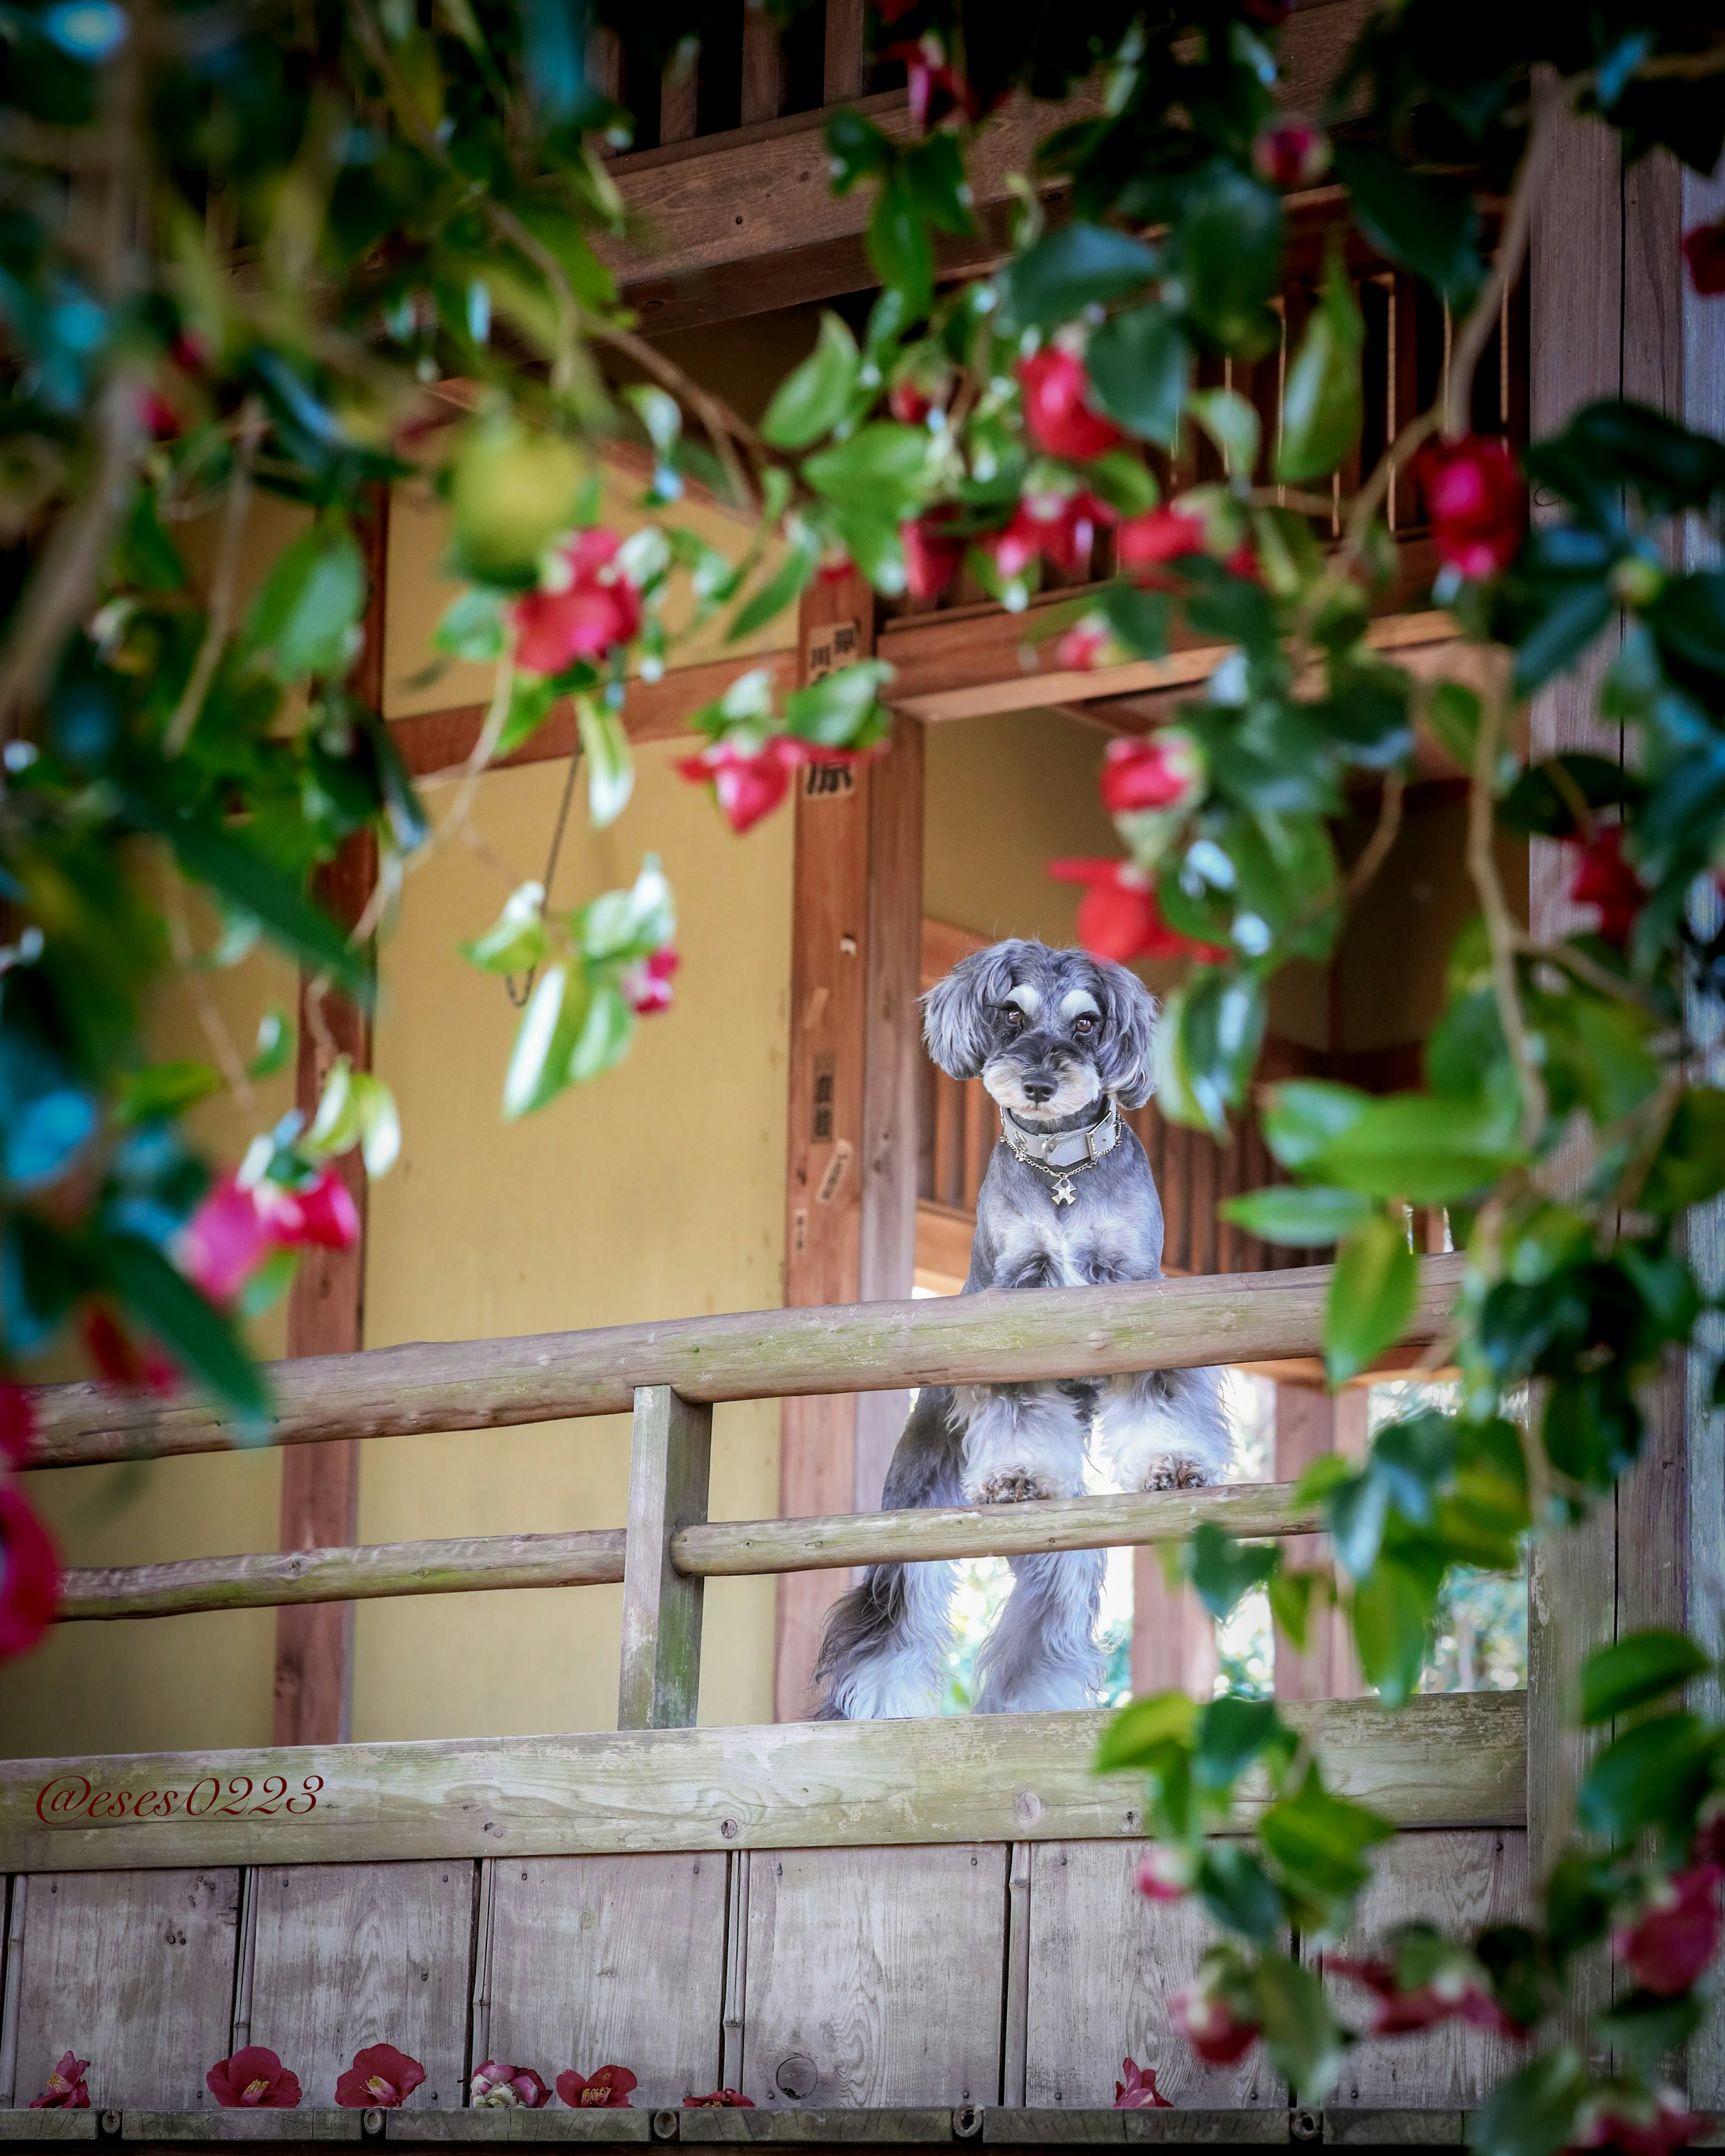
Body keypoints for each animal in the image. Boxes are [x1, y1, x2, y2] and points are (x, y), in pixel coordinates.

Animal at [810, 936, 1225, 1725]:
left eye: (1087, 1023)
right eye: (1011, 1014)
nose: (1037, 1083)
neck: (1062, 1171)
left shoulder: (1137, 1290)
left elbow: (1159, 1394)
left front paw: (1173, 1463)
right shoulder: (1014, 1299)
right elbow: (1016, 1403)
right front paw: (1017, 1473)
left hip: (1055, 1547)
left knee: (1050, 1607)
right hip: (910, 1520)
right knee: (893, 1617)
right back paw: (874, 1707)